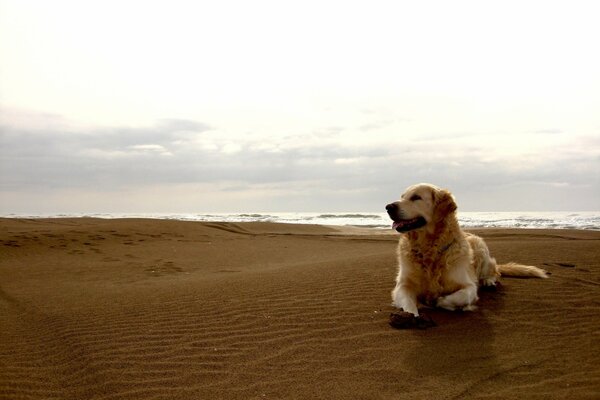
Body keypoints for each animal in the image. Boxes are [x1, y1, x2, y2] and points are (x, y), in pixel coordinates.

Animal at [386, 183, 548, 318]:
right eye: (402, 197)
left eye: (416, 197)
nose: (388, 207)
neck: (430, 249)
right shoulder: (402, 285)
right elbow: (408, 303)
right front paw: (411, 316)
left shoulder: (468, 285)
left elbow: (460, 296)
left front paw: (440, 301)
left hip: (480, 247)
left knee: (495, 271)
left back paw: (488, 281)